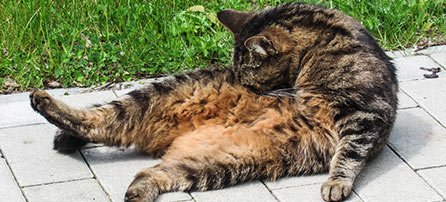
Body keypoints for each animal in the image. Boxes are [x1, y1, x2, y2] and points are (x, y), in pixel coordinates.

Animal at [29, 1, 398, 202]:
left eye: (248, 78)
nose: (241, 86)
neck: (319, 48)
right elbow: (348, 152)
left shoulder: (365, 113)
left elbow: (349, 154)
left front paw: (336, 183)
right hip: (163, 95)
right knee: (99, 121)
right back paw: (46, 107)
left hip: (220, 162)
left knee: (149, 170)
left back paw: (136, 191)